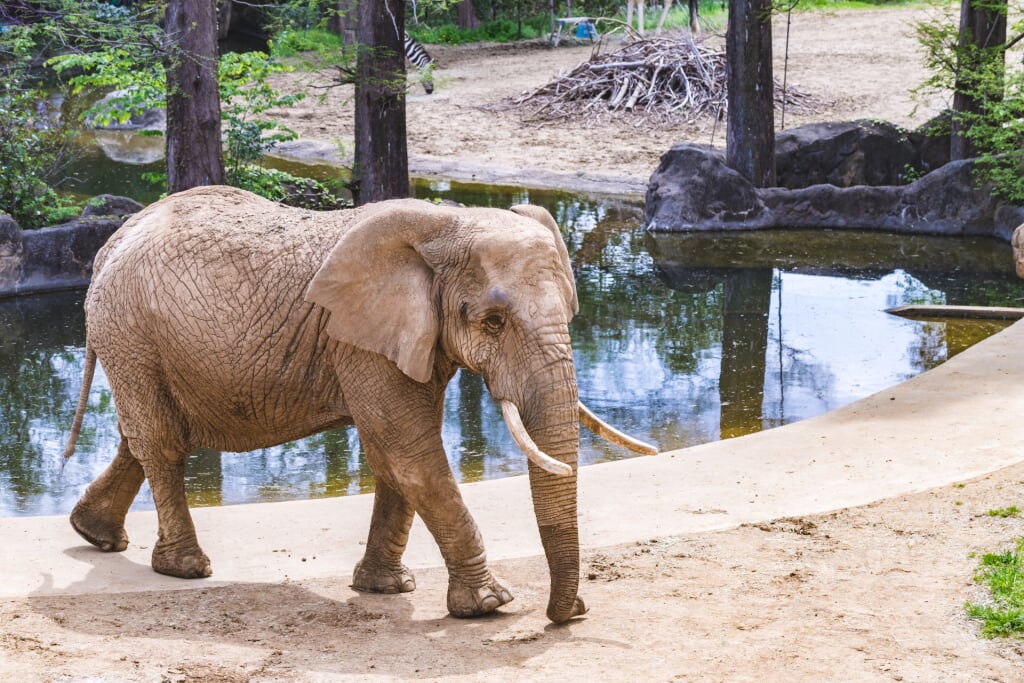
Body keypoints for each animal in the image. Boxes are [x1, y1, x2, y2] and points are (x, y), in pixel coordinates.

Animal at [64, 184, 655, 622]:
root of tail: (111, 242)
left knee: (142, 436)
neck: (446, 224)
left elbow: (392, 457)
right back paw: (186, 570)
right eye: (492, 322)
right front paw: (490, 606)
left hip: (137, 340)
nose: (573, 611)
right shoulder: (360, 338)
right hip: (130, 329)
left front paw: (385, 589)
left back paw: (94, 535)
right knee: (162, 443)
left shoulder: (406, 338)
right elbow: (410, 451)